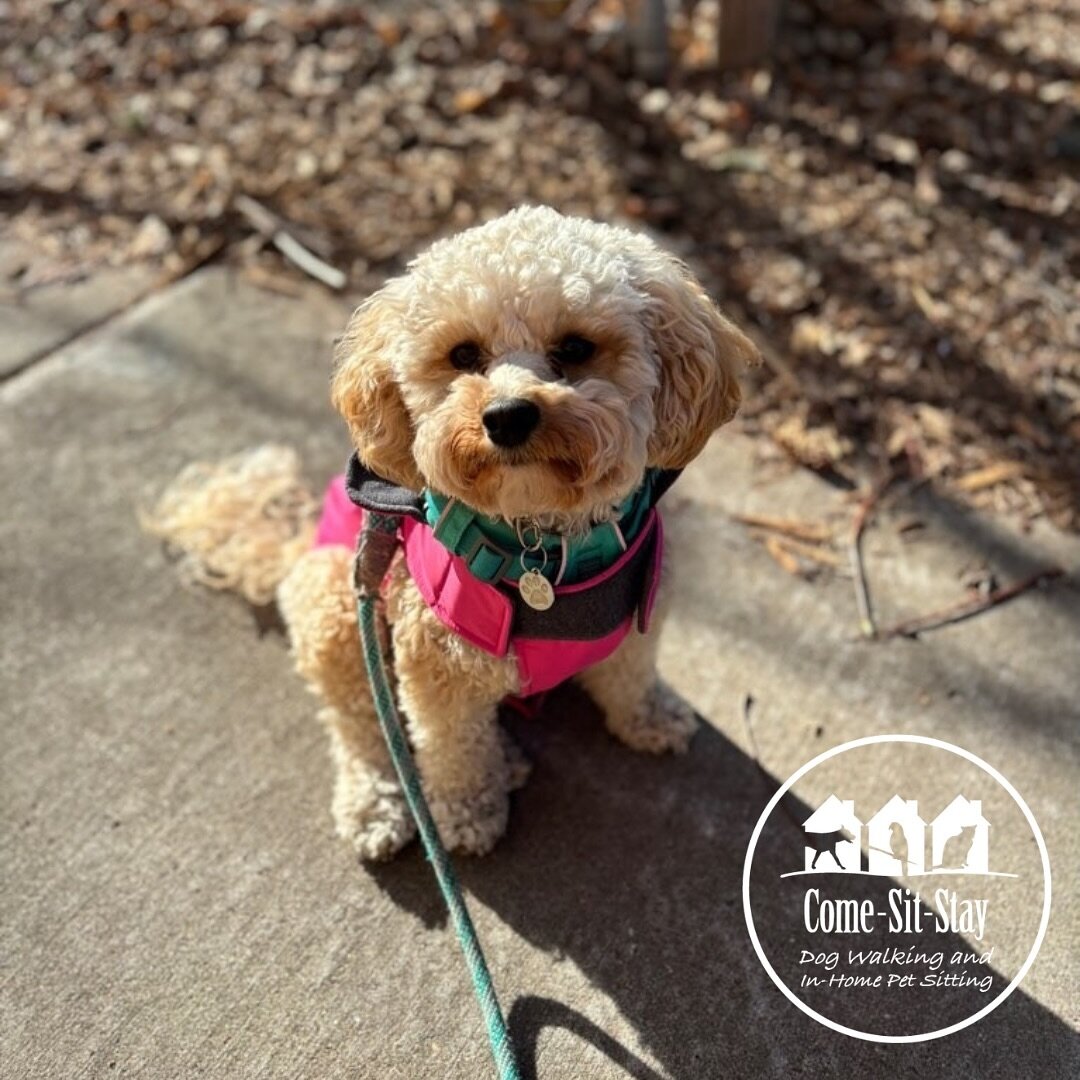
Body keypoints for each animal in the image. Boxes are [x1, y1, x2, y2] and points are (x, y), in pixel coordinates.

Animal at [145, 204, 760, 859]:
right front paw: (466, 811)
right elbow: (451, 748)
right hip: (339, 602)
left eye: (575, 347)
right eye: (464, 355)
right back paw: (378, 800)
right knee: (362, 725)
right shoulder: (437, 668)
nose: (507, 416)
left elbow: (631, 676)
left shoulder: (643, 615)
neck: (542, 549)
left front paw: (649, 717)